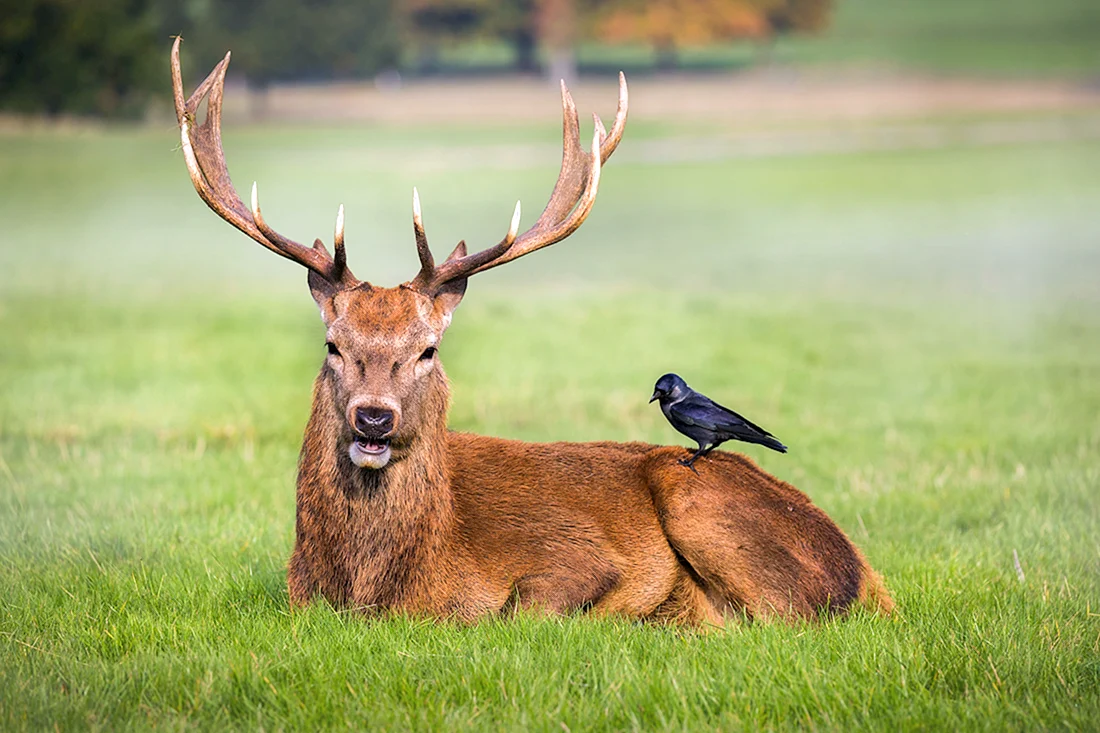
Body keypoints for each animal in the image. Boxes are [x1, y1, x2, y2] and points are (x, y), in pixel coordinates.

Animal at [171, 38, 893, 625]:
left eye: (428, 349)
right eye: (333, 345)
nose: (373, 417)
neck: (381, 589)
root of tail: (867, 575)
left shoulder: (582, 556)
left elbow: (528, 606)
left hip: (698, 496)